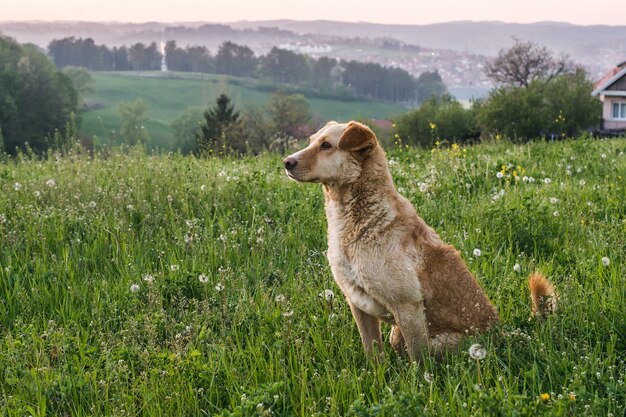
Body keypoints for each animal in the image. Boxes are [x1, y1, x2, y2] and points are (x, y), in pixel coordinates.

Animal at [282, 120, 552, 360]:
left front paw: (418, 384)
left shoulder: (407, 306)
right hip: (396, 334)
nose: (286, 162)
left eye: (326, 145)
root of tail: (504, 334)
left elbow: (418, 364)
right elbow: (373, 355)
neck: (358, 221)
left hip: (438, 340)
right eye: (312, 141)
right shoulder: (357, 303)